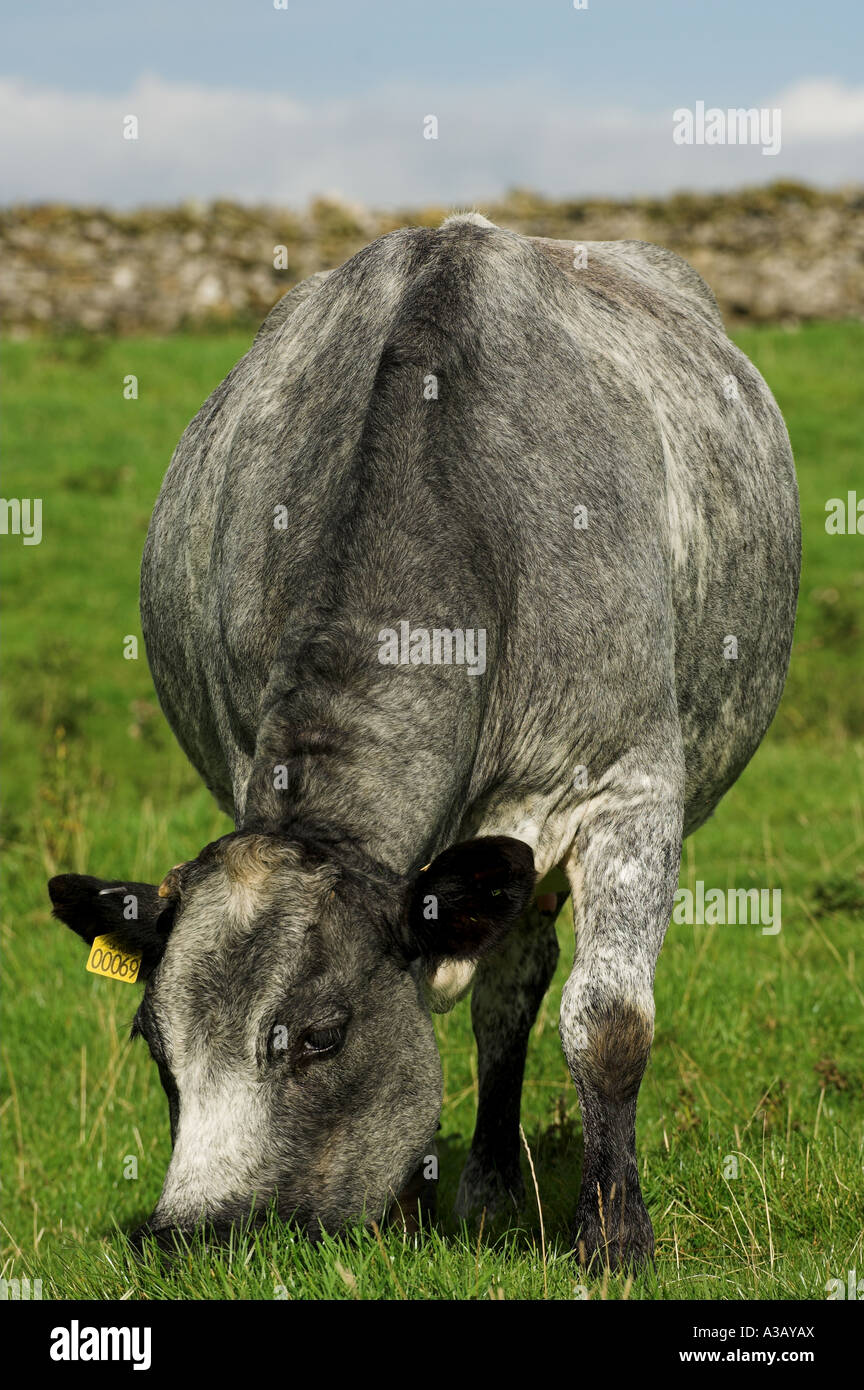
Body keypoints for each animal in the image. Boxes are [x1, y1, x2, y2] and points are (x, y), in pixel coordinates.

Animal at [50, 214, 800, 1273]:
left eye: (319, 1035)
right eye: (155, 1047)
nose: (190, 1235)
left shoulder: (627, 791)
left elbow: (608, 1025)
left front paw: (615, 1236)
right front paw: (407, 1212)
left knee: (516, 994)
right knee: (508, 993)